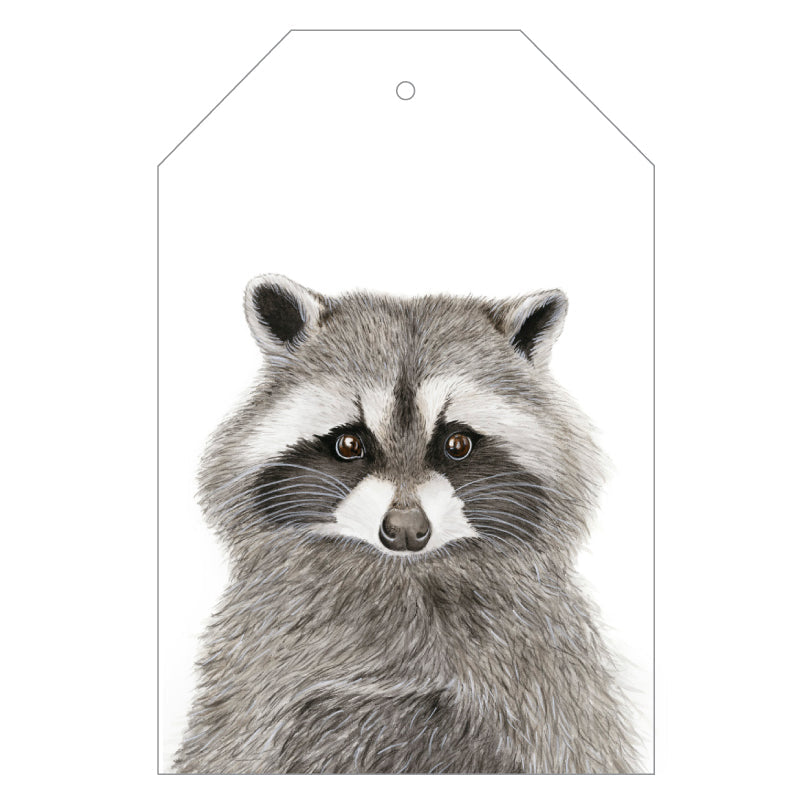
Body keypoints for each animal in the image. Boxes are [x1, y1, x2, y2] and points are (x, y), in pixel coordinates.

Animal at [172, 274, 641, 774]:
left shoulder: (549, 686)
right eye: (349, 444)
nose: (404, 530)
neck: (405, 576)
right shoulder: (254, 678)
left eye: (457, 443)